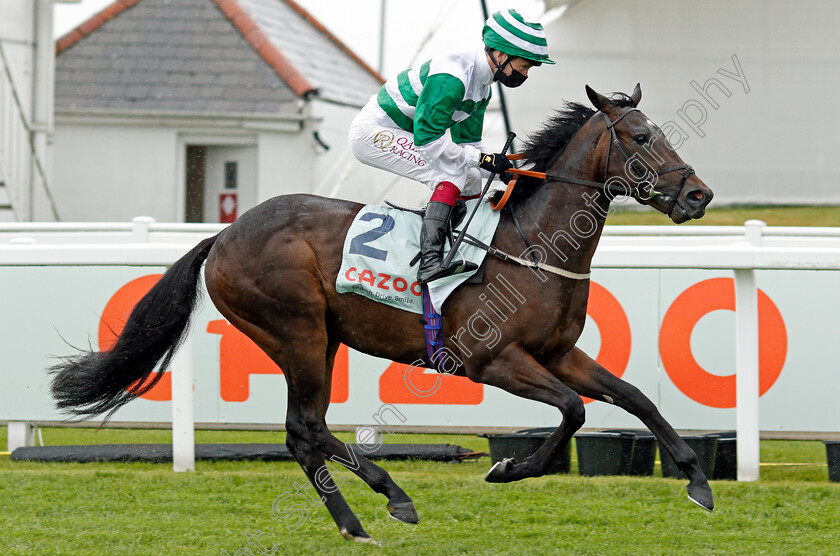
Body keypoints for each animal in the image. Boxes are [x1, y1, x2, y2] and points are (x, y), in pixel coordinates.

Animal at [49, 84, 712, 540]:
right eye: (642, 137)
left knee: (304, 431)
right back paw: (388, 499)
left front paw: (697, 479)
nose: (698, 193)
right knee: (306, 428)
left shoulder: (558, 353)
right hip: (295, 331)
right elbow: (574, 411)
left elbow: (634, 397)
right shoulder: (492, 360)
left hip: (321, 338)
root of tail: (224, 234)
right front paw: (508, 469)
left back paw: (360, 517)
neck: (532, 245)